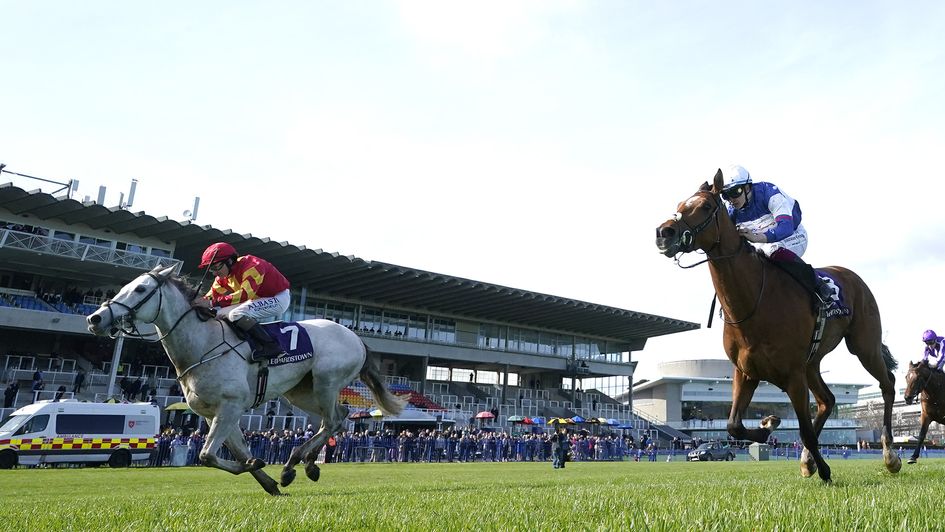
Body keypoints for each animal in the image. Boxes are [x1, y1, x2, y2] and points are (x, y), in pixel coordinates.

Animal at [89, 266, 410, 494]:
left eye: (140, 288)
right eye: (124, 287)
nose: (95, 319)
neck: (202, 344)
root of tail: (356, 338)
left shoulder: (231, 405)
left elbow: (207, 455)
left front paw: (263, 468)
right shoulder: (213, 413)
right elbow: (237, 453)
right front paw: (268, 482)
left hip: (326, 381)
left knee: (332, 420)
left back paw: (292, 465)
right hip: (301, 391)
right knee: (339, 417)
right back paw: (306, 465)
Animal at [652, 170, 896, 482]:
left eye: (705, 206)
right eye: (680, 204)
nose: (664, 232)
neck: (754, 302)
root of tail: (852, 276)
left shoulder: (792, 374)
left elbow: (804, 431)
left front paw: (825, 470)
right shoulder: (745, 372)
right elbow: (733, 426)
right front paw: (769, 425)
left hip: (864, 345)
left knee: (887, 384)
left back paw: (890, 456)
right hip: (812, 362)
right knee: (828, 400)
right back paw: (807, 460)